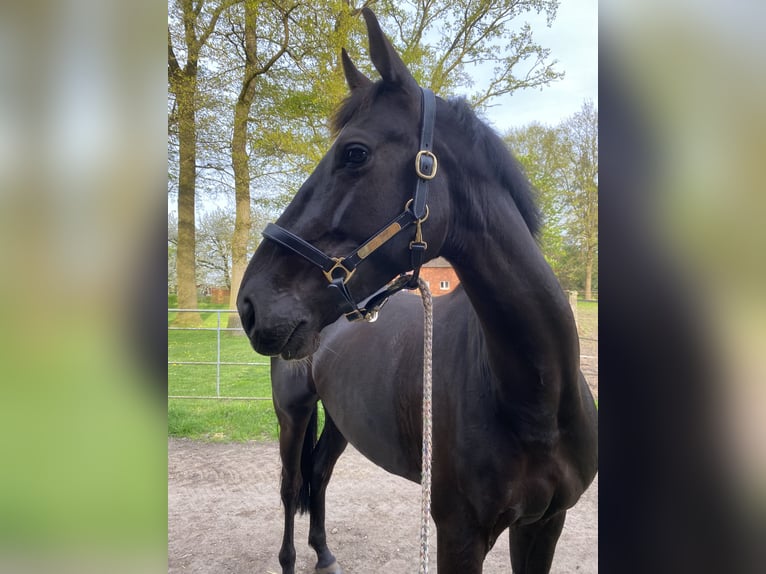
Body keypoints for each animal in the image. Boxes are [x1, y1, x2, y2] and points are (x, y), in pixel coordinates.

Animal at [240, 9, 600, 574]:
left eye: (355, 153)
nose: (250, 304)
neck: (535, 400)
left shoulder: (545, 524)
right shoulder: (459, 535)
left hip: (341, 418)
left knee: (317, 475)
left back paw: (325, 554)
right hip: (292, 415)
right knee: (291, 485)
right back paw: (294, 559)